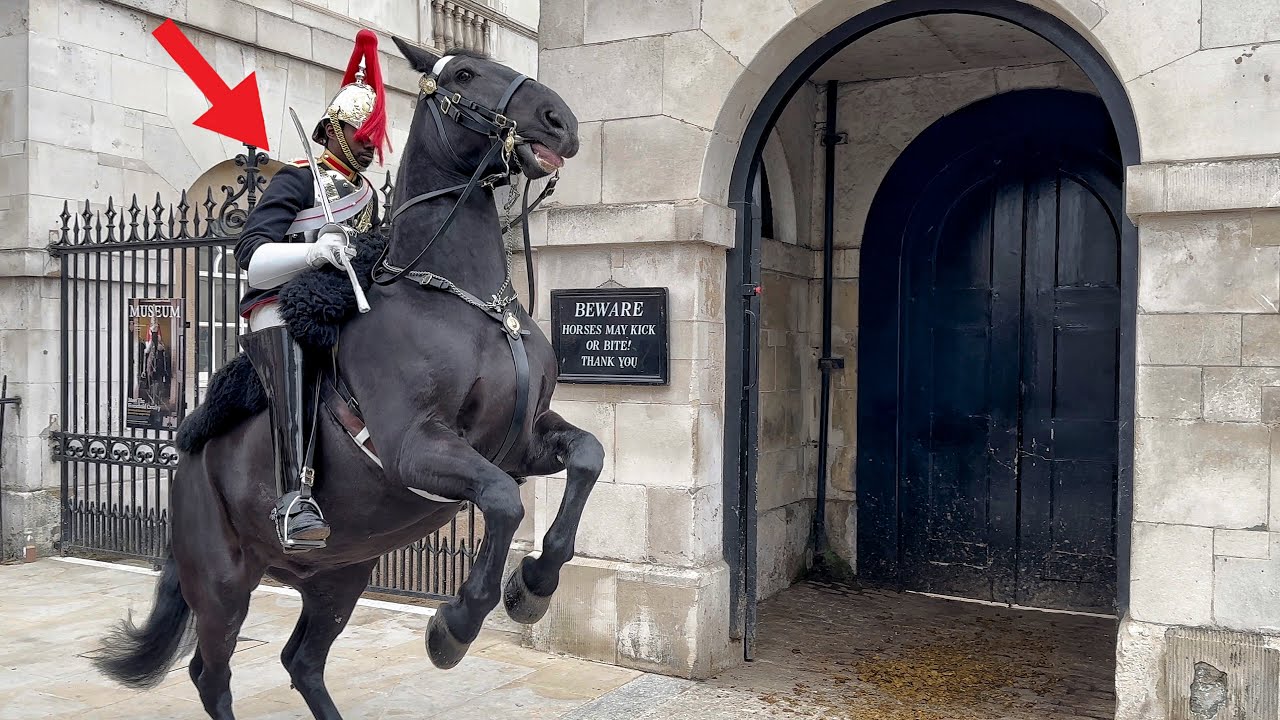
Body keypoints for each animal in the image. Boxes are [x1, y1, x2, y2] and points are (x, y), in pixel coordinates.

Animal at [89, 38, 599, 720]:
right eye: (465, 74)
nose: (559, 121)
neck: (463, 300)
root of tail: (188, 463)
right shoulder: (415, 447)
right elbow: (501, 499)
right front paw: (456, 624)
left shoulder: (521, 441)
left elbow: (587, 456)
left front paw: (535, 585)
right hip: (222, 584)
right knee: (209, 672)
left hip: (340, 575)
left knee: (301, 661)